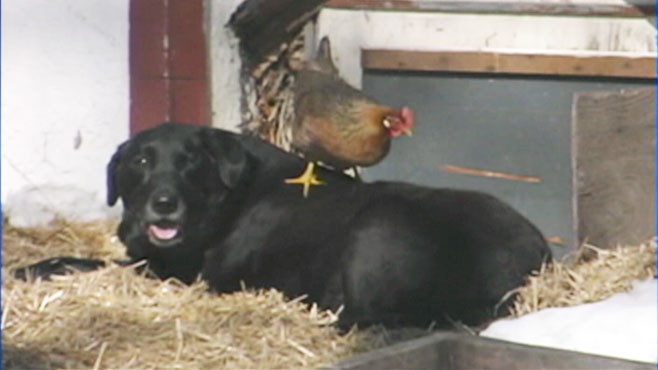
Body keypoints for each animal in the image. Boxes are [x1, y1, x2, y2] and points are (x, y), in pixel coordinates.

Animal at [15, 123, 548, 328]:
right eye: (142, 161)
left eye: (190, 162)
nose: (163, 204)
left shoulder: (186, 276)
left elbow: (89, 263)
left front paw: (33, 269)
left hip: (381, 220)